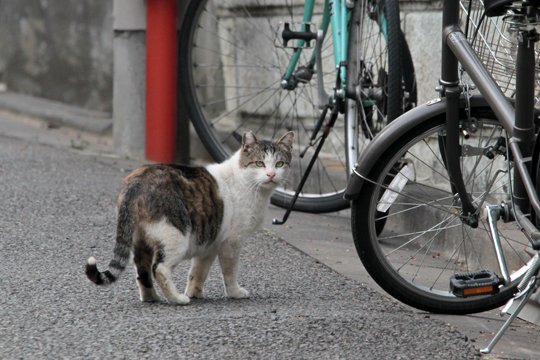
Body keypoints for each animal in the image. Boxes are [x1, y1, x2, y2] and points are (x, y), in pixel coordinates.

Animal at [86, 129, 294, 304]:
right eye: (259, 163)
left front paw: (195, 292)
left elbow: (198, 272)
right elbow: (230, 271)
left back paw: (152, 298)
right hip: (176, 235)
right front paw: (234, 292)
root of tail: (135, 183)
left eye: (279, 164)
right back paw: (177, 299)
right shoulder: (231, 242)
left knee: (142, 272)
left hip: (140, 240)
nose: (271, 174)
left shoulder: (210, 243)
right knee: (159, 269)